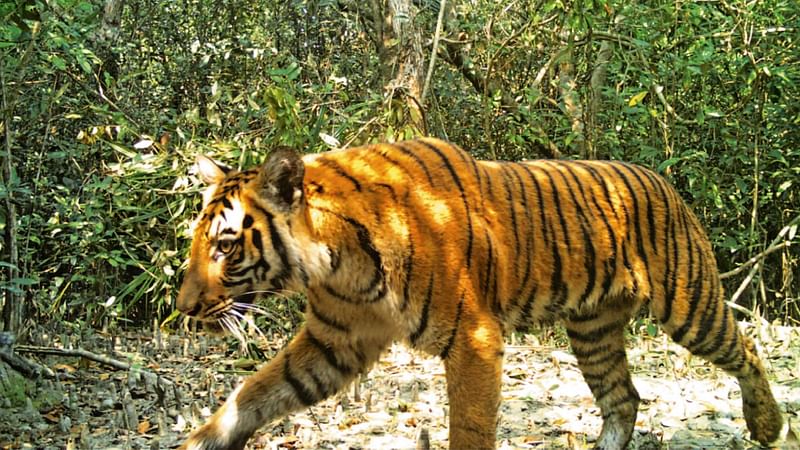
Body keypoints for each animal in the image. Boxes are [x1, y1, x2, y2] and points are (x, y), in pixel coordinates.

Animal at [175, 137, 780, 450]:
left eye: (226, 246)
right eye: (197, 242)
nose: (183, 308)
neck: (336, 263)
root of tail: (663, 179)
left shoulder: (473, 337)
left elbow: (468, 426)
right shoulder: (334, 342)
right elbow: (255, 393)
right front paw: (203, 441)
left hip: (688, 304)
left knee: (747, 350)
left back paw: (768, 424)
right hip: (593, 329)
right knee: (623, 398)